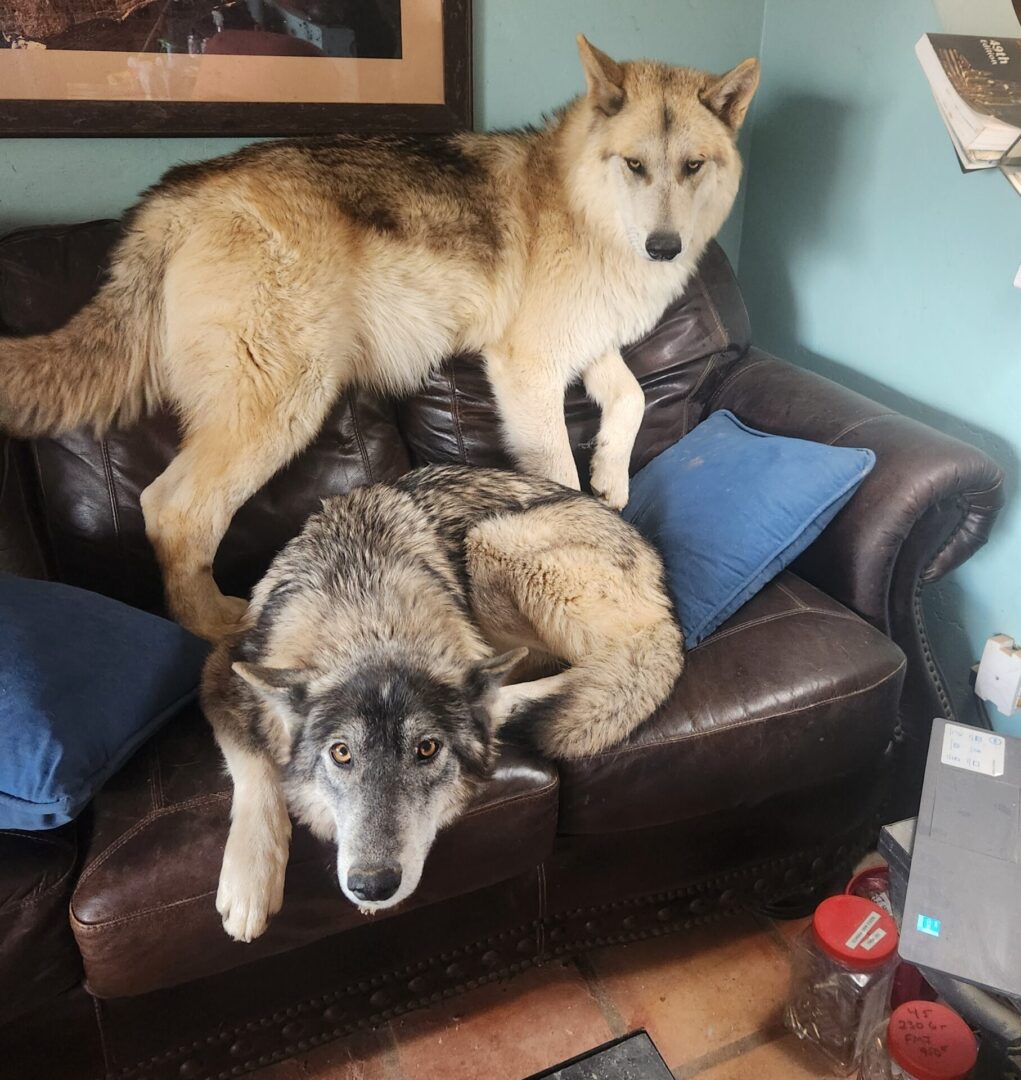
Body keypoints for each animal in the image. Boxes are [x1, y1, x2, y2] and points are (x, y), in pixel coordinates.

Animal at [0, 35, 756, 639]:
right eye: (634, 165)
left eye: (693, 166)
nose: (664, 247)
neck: (581, 204)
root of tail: (174, 195)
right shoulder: (529, 368)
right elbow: (558, 477)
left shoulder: (587, 347)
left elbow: (631, 401)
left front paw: (611, 478)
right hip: (284, 402)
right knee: (171, 510)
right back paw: (214, 625)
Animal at [202, 468, 682, 941]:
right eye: (341, 754)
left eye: (427, 750)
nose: (372, 886)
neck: (363, 606)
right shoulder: (221, 674)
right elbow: (257, 773)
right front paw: (251, 884)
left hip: (492, 542)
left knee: (612, 656)